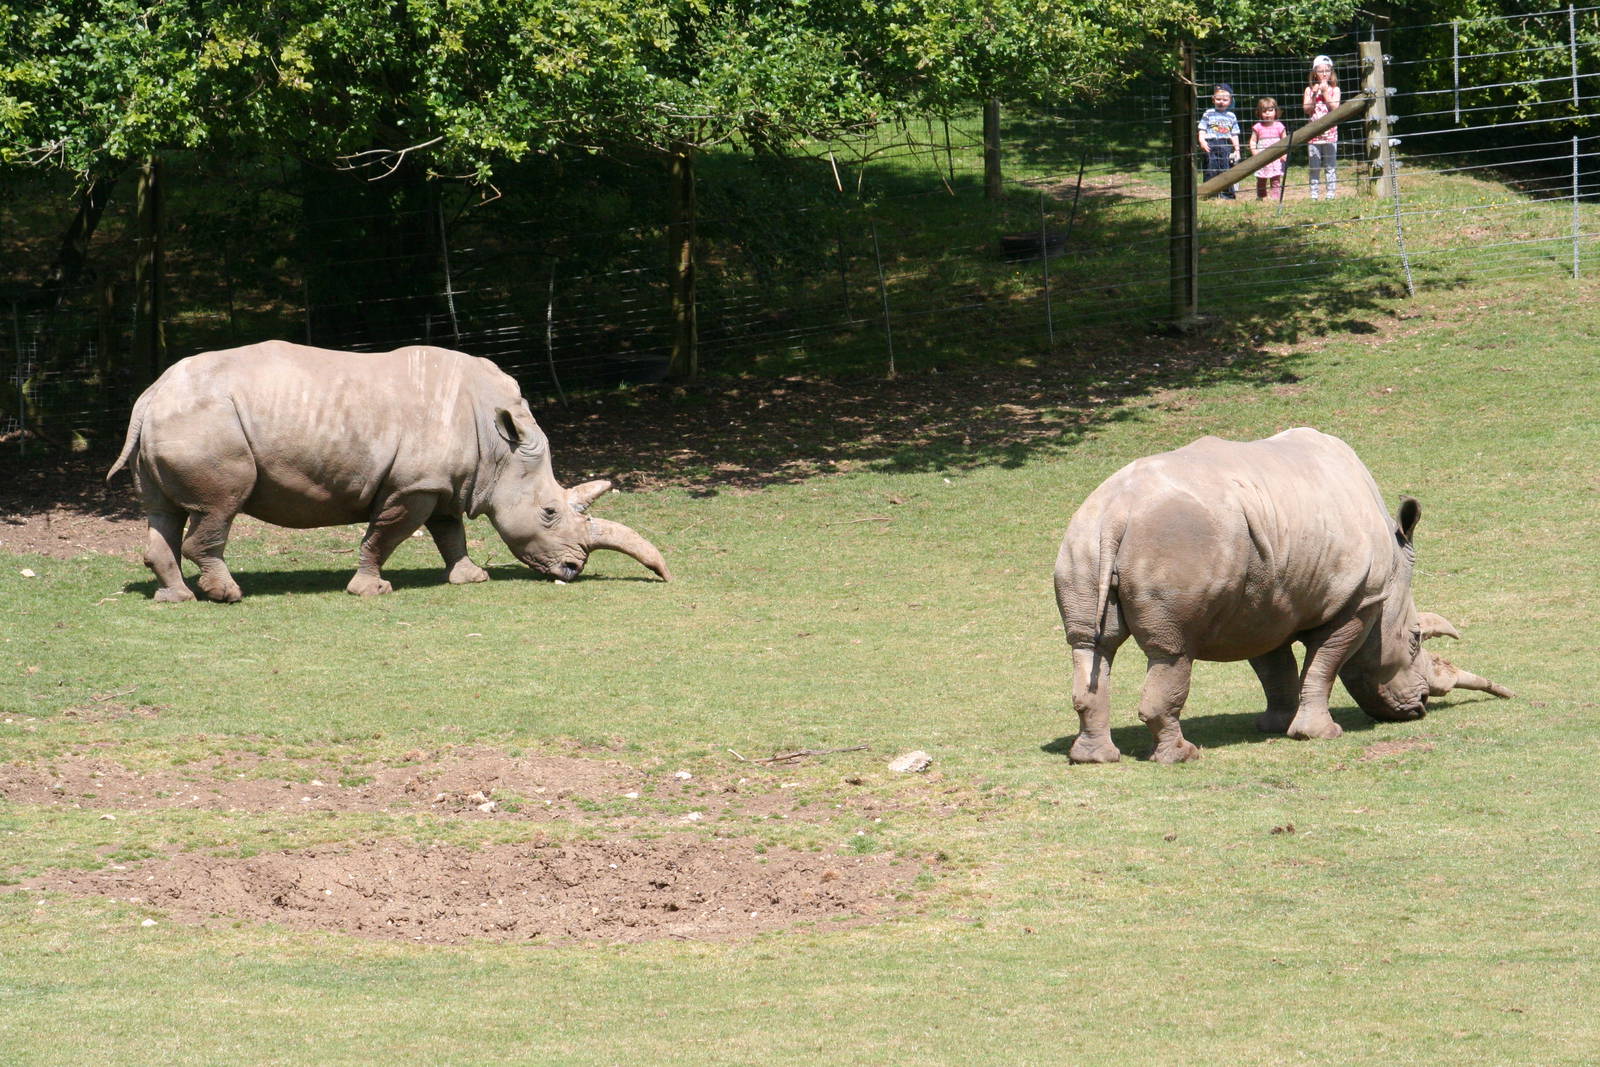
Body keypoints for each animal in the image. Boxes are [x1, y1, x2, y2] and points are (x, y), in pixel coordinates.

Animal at [107, 340, 670, 602]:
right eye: (550, 512)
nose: (573, 570)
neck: (499, 448)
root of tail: (150, 395)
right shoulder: (413, 485)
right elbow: (385, 536)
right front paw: (371, 590)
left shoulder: (445, 482)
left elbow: (450, 531)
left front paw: (472, 578)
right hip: (206, 423)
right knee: (217, 508)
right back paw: (227, 596)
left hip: (176, 417)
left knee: (164, 511)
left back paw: (175, 597)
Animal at [1053, 428, 1510, 764]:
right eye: (1414, 641)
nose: (1419, 707)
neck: (1395, 574)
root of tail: (1118, 512)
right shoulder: (1358, 602)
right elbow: (1324, 665)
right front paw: (1319, 734)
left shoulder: (1263, 600)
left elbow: (1276, 668)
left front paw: (1276, 726)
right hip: (1176, 539)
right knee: (1172, 651)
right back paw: (1182, 756)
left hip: (1083, 534)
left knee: (1090, 645)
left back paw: (1095, 758)